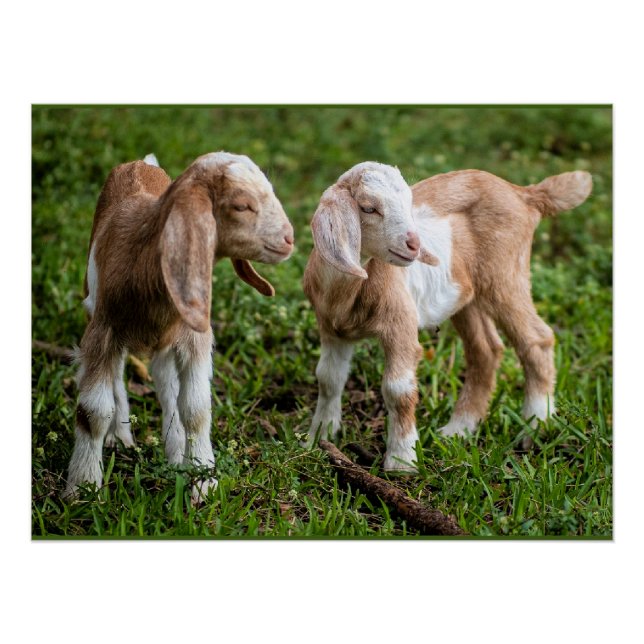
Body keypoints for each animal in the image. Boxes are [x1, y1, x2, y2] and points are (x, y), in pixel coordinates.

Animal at [65, 152, 294, 501]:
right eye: (242, 205)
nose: (289, 238)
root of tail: (139, 163)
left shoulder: (193, 335)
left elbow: (196, 410)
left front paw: (204, 483)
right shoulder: (103, 330)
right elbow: (92, 412)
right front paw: (83, 488)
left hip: (167, 339)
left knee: (166, 386)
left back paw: (174, 458)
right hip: (96, 309)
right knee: (119, 375)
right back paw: (121, 437)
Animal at [303, 162, 592, 470]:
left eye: (408, 202)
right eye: (368, 208)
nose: (414, 244)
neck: (347, 289)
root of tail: (522, 193)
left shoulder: (400, 324)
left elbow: (398, 390)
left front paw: (402, 461)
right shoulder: (332, 330)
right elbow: (328, 378)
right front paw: (318, 438)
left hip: (505, 275)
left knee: (536, 339)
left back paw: (535, 426)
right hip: (467, 298)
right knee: (485, 350)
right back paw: (459, 429)